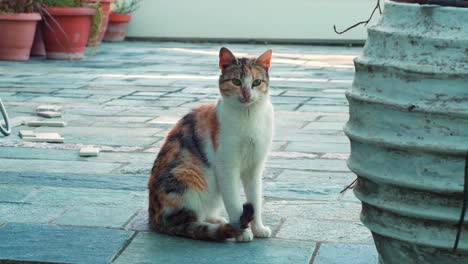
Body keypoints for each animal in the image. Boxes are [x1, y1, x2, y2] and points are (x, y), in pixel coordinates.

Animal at [148, 47, 274, 241]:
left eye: (256, 82)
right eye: (236, 81)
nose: (247, 94)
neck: (249, 116)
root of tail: (153, 218)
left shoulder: (254, 168)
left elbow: (255, 200)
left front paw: (258, 229)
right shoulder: (226, 166)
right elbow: (234, 202)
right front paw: (242, 231)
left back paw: (217, 220)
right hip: (187, 176)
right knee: (187, 222)